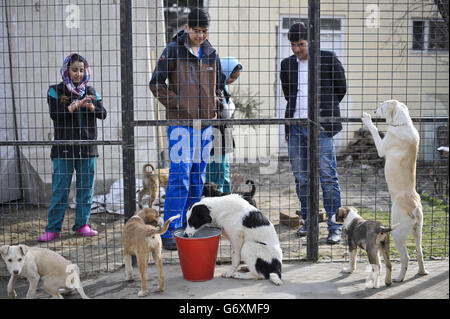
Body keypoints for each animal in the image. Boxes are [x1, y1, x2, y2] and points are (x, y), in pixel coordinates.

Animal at [362, 99, 428, 282]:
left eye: (382, 106)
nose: (374, 111)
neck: (403, 124)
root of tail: (415, 207)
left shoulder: (381, 147)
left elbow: (374, 130)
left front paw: (367, 118)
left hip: (398, 234)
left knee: (406, 257)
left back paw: (398, 278)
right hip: (418, 232)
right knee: (419, 254)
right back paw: (422, 272)